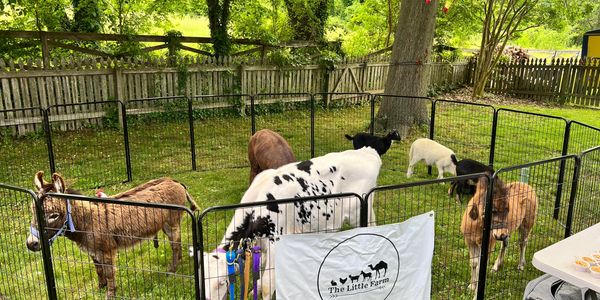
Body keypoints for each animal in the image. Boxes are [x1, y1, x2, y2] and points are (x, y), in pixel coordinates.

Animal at [27, 171, 198, 298]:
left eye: (53, 215)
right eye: (32, 210)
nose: (31, 244)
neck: (86, 220)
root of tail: (174, 181)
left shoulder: (107, 251)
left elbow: (110, 274)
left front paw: (110, 295)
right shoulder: (93, 252)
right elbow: (99, 270)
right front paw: (99, 289)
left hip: (172, 222)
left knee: (175, 244)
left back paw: (172, 270)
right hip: (165, 224)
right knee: (177, 242)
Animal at [200, 148, 380, 300]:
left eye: (222, 282)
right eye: (203, 281)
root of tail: (367, 152)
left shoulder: (276, 241)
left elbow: (267, 284)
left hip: (362, 211)